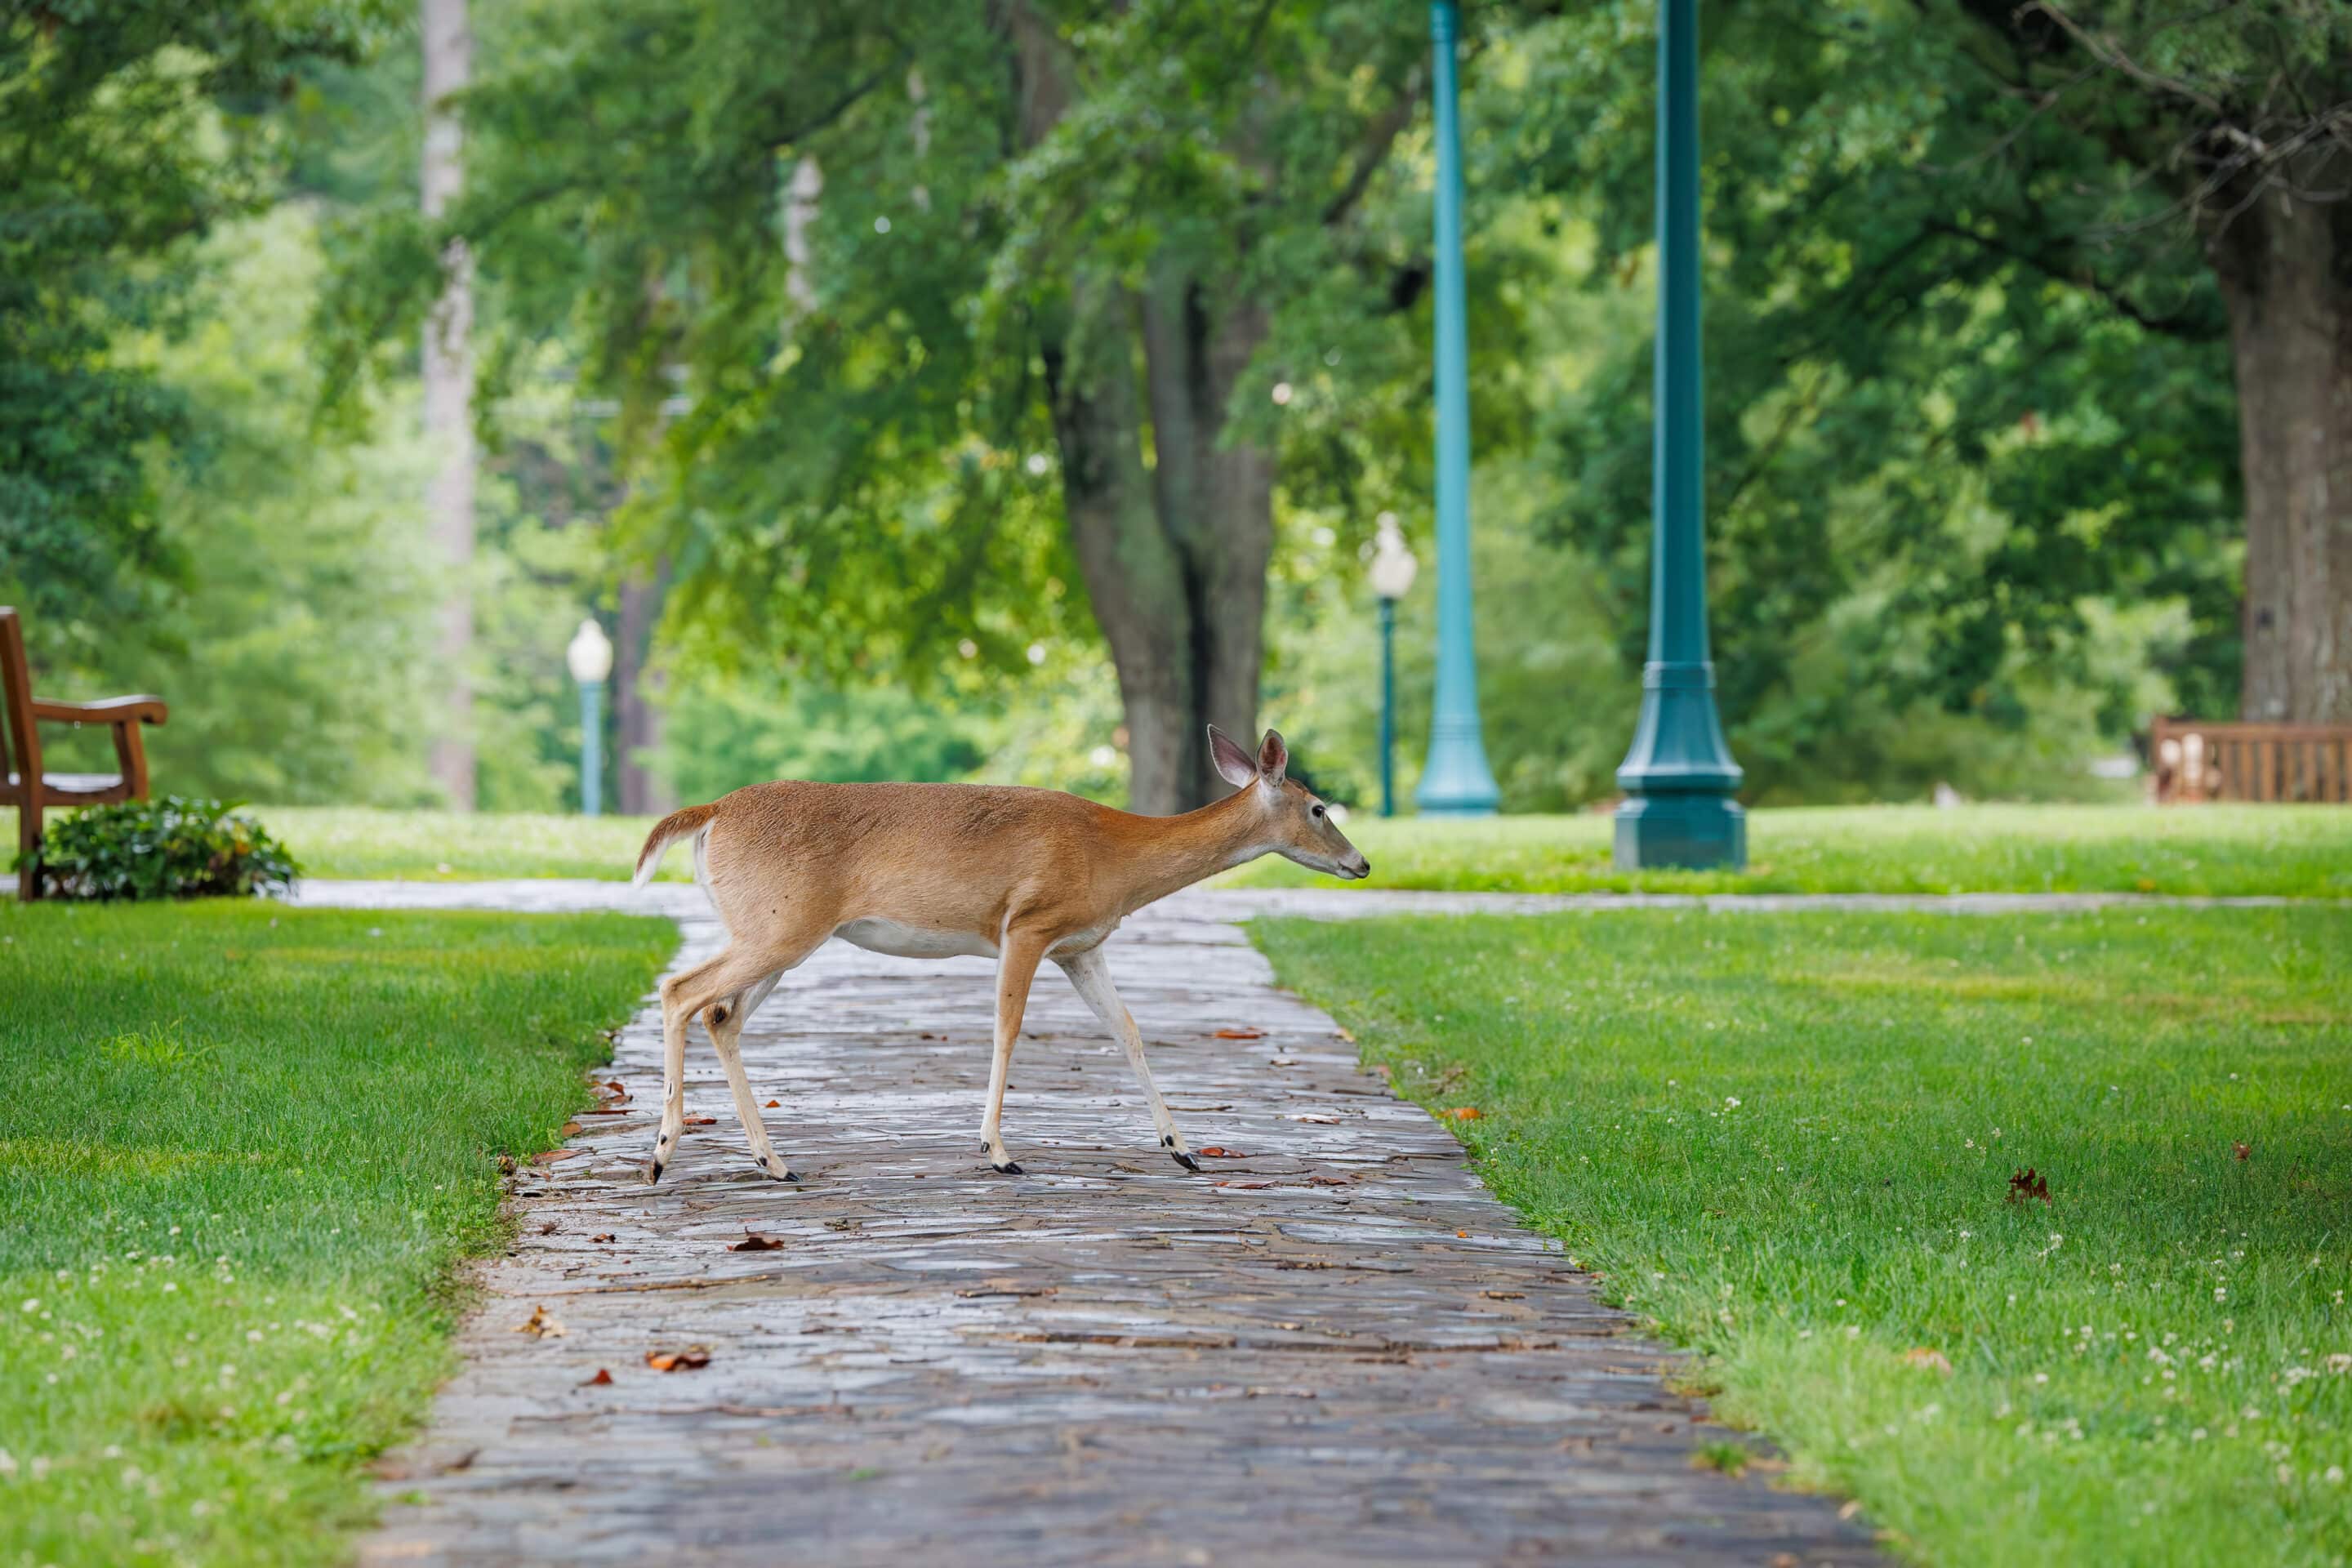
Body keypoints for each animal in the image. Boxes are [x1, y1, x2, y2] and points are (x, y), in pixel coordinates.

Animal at [628, 725, 1367, 1184]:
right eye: (1319, 809)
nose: (1362, 863)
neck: (1116, 859)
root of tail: (711, 811)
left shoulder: (1081, 947)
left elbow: (1128, 1030)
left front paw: (1181, 1149)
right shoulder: (1028, 925)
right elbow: (1007, 1029)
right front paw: (997, 1152)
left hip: (778, 934)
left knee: (721, 1015)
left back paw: (773, 1163)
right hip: (779, 927)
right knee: (680, 992)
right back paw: (662, 1156)